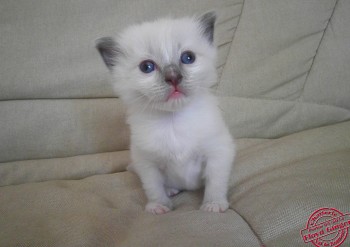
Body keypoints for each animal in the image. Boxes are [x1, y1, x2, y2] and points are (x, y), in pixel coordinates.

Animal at [95, 11, 235, 214]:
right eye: (146, 67)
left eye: (188, 58)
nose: (173, 77)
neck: (173, 121)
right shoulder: (147, 163)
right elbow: (154, 187)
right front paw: (159, 206)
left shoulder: (218, 153)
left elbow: (215, 183)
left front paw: (213, 205)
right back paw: (171, 191)